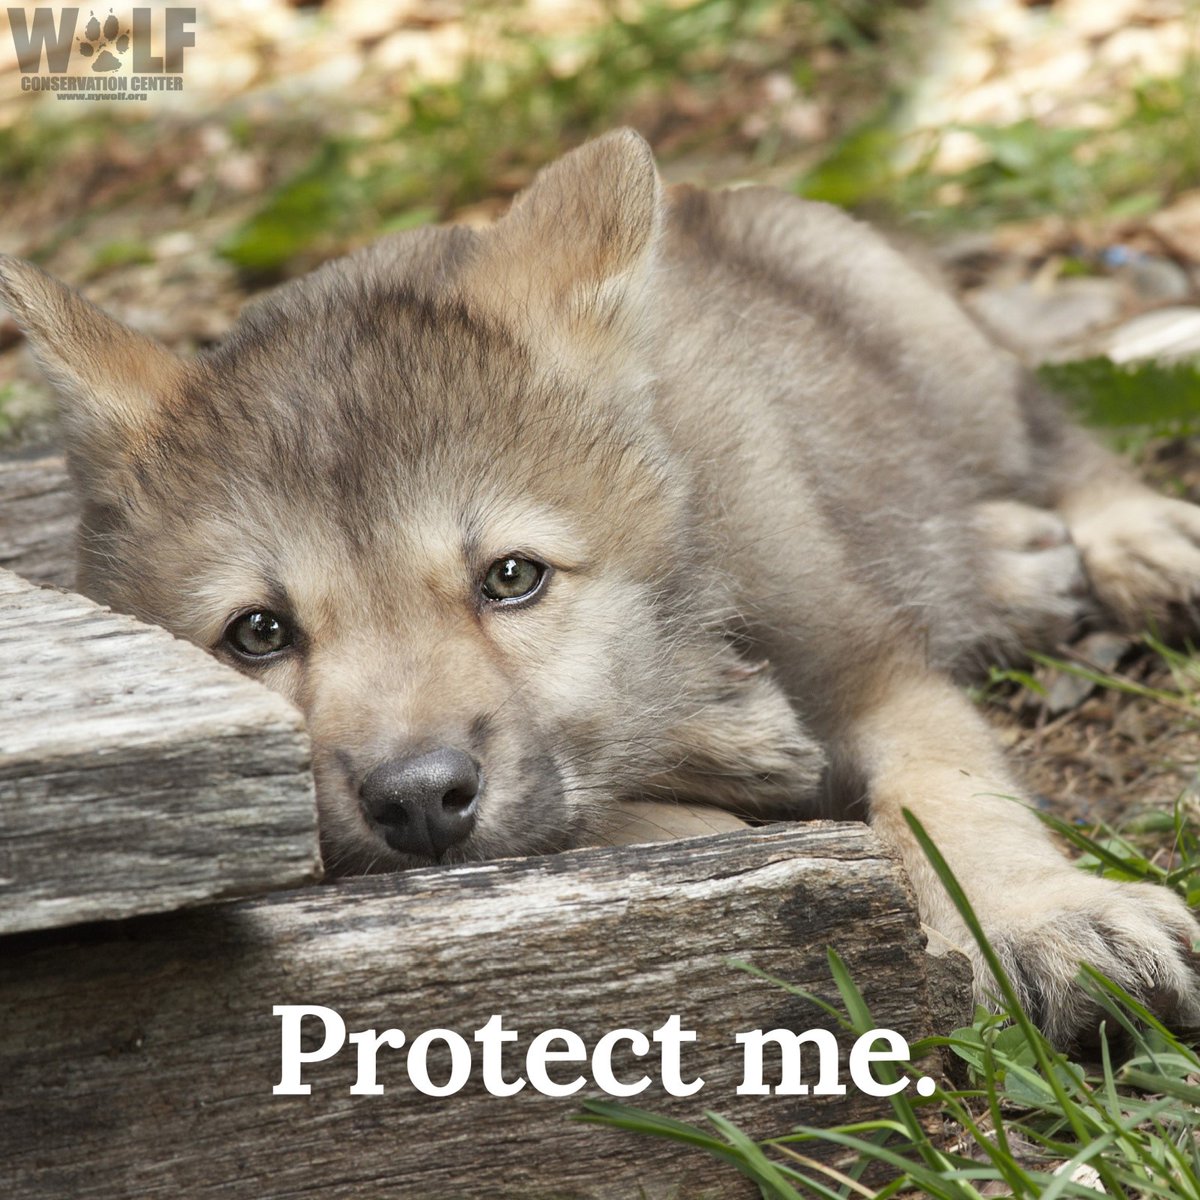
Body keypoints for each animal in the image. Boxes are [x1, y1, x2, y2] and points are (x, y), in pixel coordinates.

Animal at [3, 130, 1199, 1048]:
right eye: (258, 633)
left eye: (512, 578)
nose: (416, 801)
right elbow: (641, 817)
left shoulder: (863, 667)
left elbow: (948, 799)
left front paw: (1045, 918)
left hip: (938, 357)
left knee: (1052, 434)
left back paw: (1120, 542)